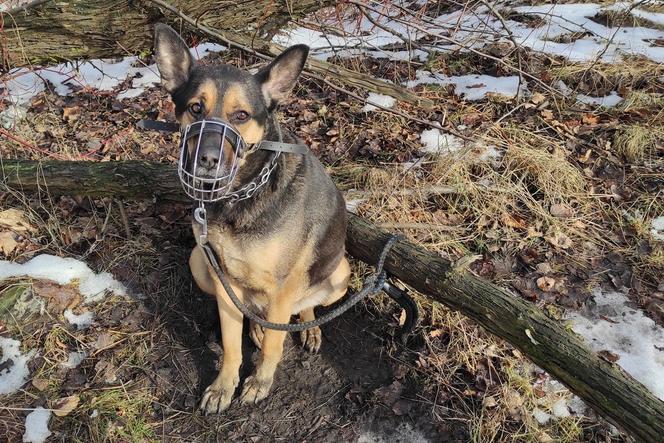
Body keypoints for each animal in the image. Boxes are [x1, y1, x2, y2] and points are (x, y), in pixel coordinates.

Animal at [154, 23, 352, 412]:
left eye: (241, 115)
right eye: (195, 108)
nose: (208, 159)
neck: (240, 196)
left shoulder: (283, 285)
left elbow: (276, 345)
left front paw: (260, 382)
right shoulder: (221, 280)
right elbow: (232, 343)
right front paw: (223, 386)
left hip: (339, 274)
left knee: (302, 309)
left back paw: (307, 326)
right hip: (197, 261)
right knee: (254, 313)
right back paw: (259, 327)